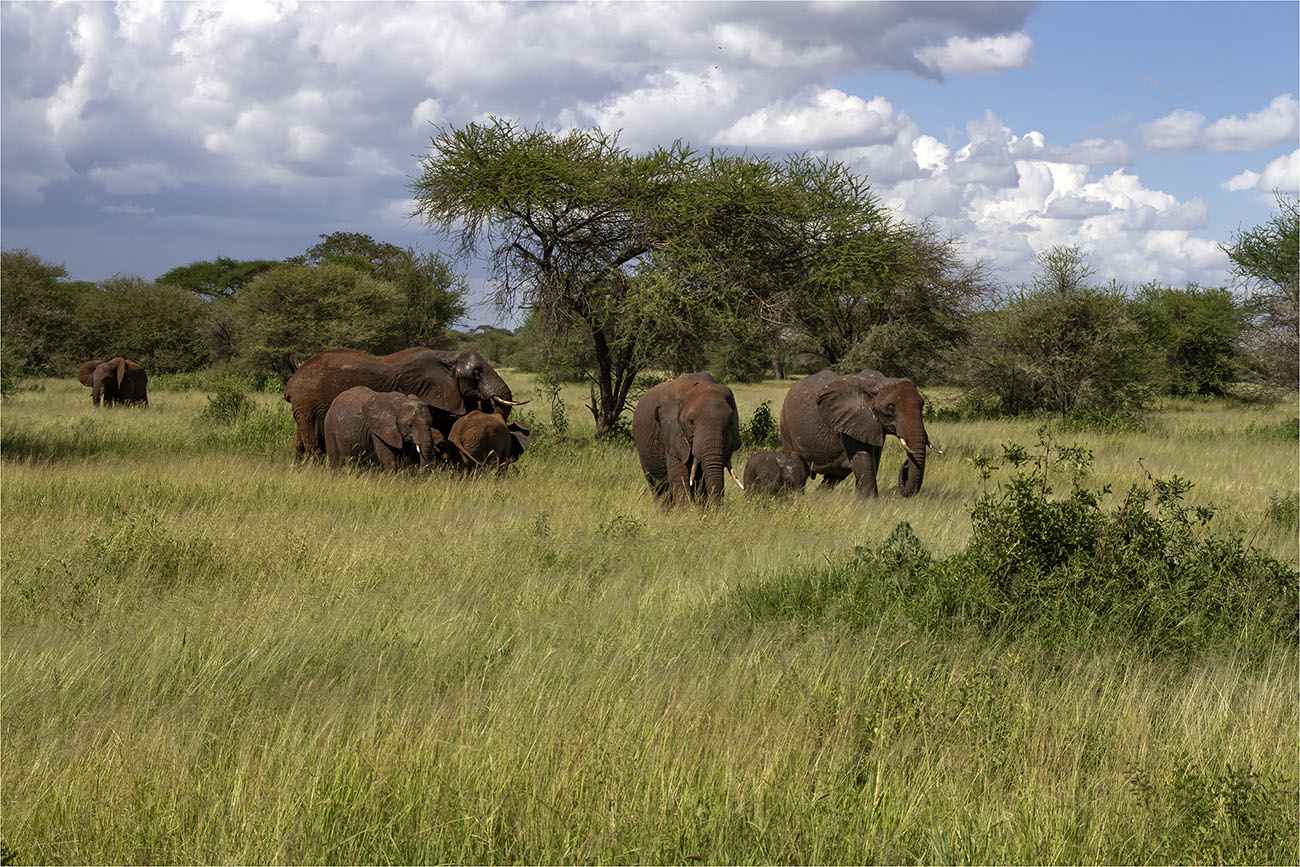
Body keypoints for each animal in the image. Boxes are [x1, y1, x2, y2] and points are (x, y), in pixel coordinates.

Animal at [286, 348, 527, 460]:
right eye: (476, 373)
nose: (489, 399)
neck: (447, 356)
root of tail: (293, 380)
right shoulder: (420, 392)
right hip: (308, 401)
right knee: (311, 439)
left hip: (304, 405)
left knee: (299, 438)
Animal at [629, 374, 743, 509]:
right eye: (691, 422)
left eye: (731, 423)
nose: (714, 509)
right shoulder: (672, 431)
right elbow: (680, 476)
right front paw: (685, 512)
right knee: (658, 489)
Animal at [774, 369, 941, 499]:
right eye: (890, 408)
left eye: (922, 405)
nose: (906, 463)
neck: (879, 383)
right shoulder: (851, 423)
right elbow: (865, 462)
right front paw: (870, 504)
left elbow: (873, 462)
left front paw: (861, 501)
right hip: (786, 426)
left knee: (834, 476)